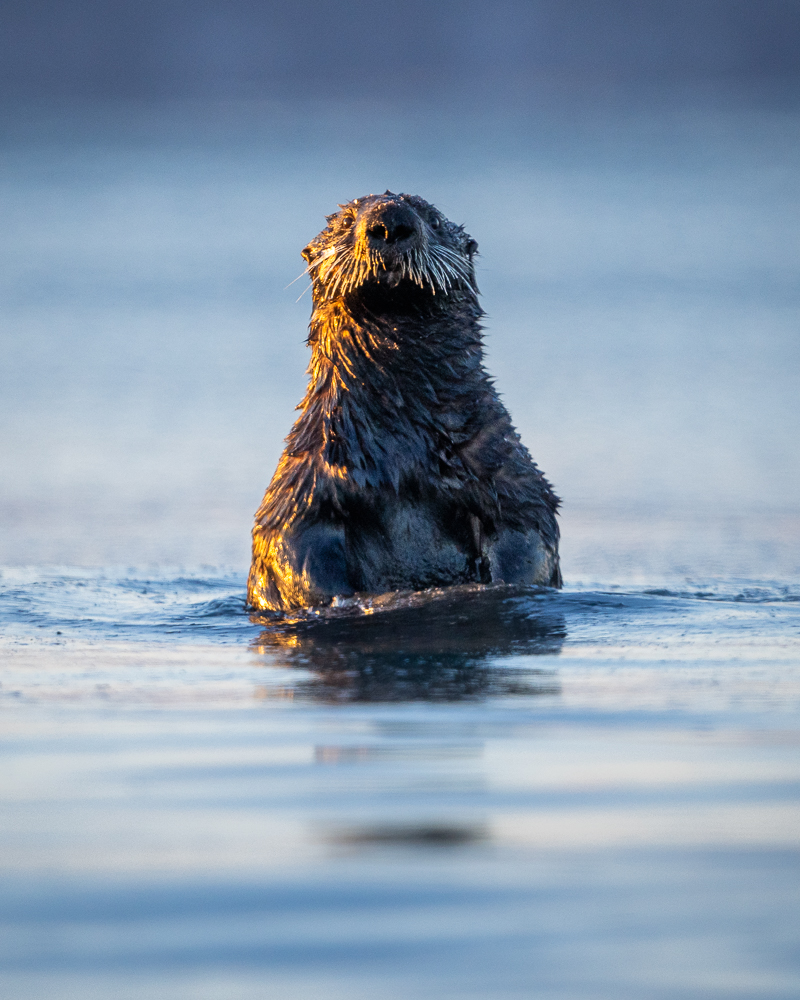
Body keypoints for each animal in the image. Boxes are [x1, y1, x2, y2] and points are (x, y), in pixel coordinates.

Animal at [247, 192, 560, 611]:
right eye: (347, 221)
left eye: (433, 220)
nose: (390, 222)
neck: (401, 452)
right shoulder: (303, 483)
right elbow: (291, 554)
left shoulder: (507, 472)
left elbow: (528, 536)